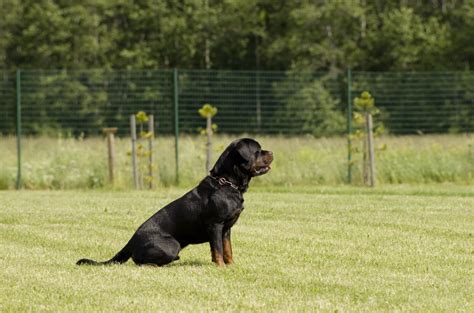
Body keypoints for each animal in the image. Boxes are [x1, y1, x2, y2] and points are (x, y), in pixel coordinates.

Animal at [76, 138, 272, 264]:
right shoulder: (215, 225)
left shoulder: (226, 229)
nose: (271, 152)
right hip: (172, 244)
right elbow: (217, 250)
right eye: (258, 150)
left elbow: (227, 249)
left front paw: (231, 265)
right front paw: (221, 267)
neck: (226, 183)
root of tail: (131, 241)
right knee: (140, 261)